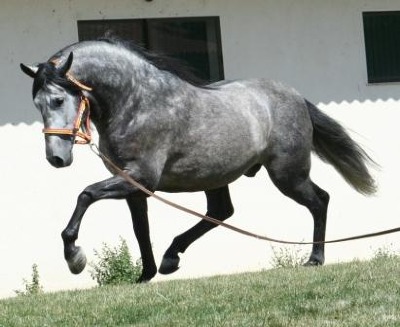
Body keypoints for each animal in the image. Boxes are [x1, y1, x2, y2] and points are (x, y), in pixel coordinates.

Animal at [20, 39, 376, 284]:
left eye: (58, 99)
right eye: (36, 103)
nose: (56, 157)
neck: (136, 101)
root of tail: (295, 97)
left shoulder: (141, 177)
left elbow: (86, 194)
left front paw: (74, 257)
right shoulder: (134, 185)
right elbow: (140, 229)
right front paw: (146, 274)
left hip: (288, 175)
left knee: (319, 201)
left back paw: (316, 258)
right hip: (218, 176)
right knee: (221, 211)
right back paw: (170, 258)